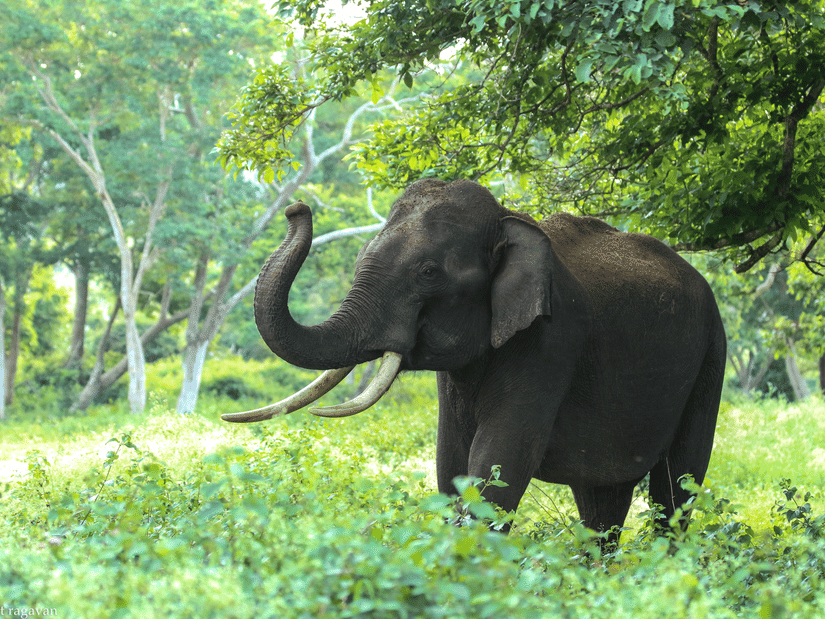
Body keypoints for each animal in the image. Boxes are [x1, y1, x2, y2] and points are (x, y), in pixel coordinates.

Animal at [223, 178, 726, 544]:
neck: (508, 221)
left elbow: (498, 464)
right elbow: (452, 465)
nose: (296, 209)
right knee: (601, 501)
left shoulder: (551, 340)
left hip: (711, 356)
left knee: (677, 487)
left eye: (428, 273)